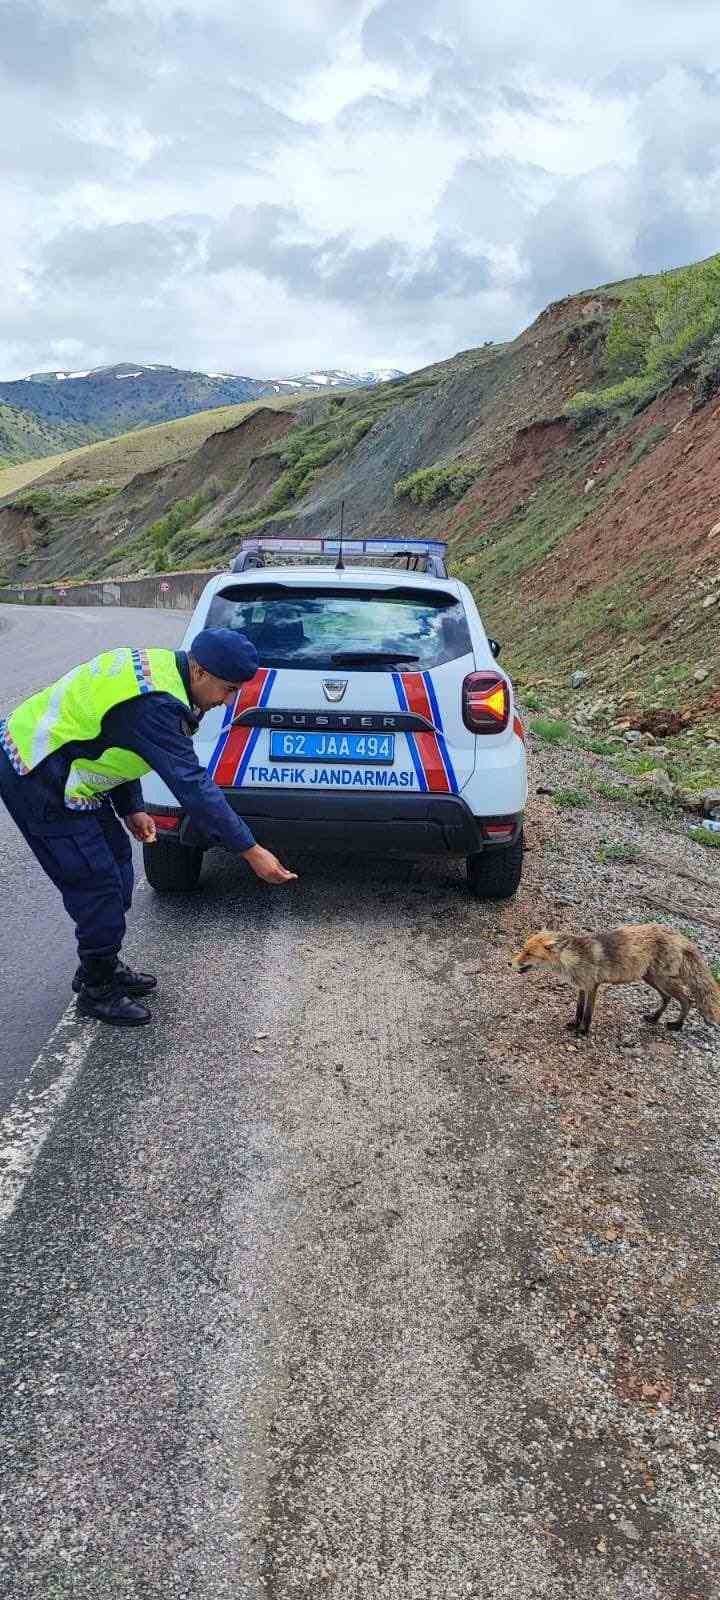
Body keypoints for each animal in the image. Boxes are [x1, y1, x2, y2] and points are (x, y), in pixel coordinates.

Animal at [512, 928, 720, 1036]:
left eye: (529, 954)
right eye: (523, 949)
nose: (510, 963)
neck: (573, 958)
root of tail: (680, 936)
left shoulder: (592, 986)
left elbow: (587, 1013)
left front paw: (583, 1031)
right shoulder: (581, 987)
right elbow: (579, 1010)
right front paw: (575, 1025)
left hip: (662, 980)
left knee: (687, 1001)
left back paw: (677, 1025)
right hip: (651, 978)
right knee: (667, 998)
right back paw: (654, 1018)